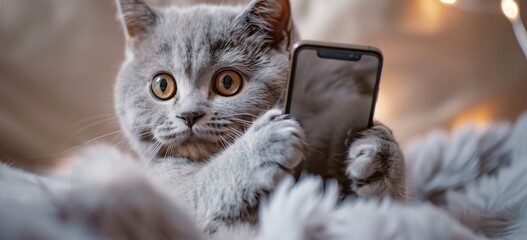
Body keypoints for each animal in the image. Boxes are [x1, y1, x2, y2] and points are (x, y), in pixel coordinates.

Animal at [113, 0, 406, 233]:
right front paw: (263, 144)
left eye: (227, 82)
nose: (189, 115)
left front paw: (378, 153)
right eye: (162, 85)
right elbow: (202, 184)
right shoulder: (165, 193)